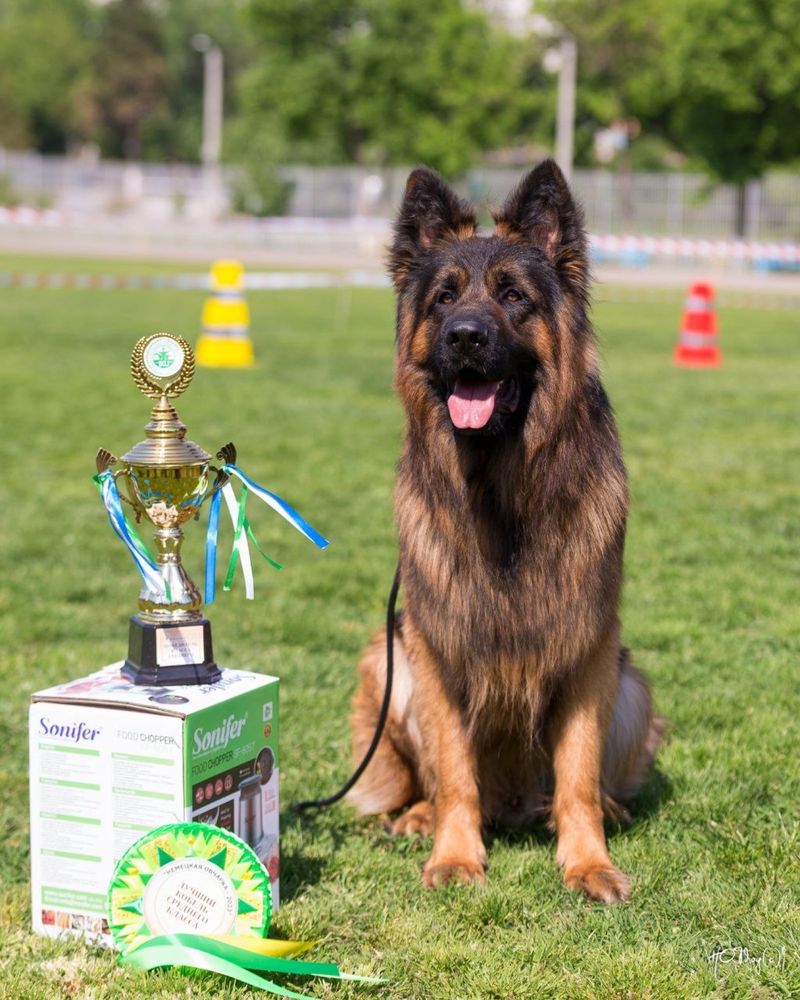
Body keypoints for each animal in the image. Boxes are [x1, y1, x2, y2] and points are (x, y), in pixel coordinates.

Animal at [350, 160, 664, 904]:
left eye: (514, 296)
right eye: (443, 299)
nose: (464, 336)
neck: (500, 489)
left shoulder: (587, 647)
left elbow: (577, 773)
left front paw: (588, 863)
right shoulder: (436, 652)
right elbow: (454, 770)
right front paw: (456, 855)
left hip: (632, 683)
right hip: (386, 659)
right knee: (434, 781)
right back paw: (420, 815)